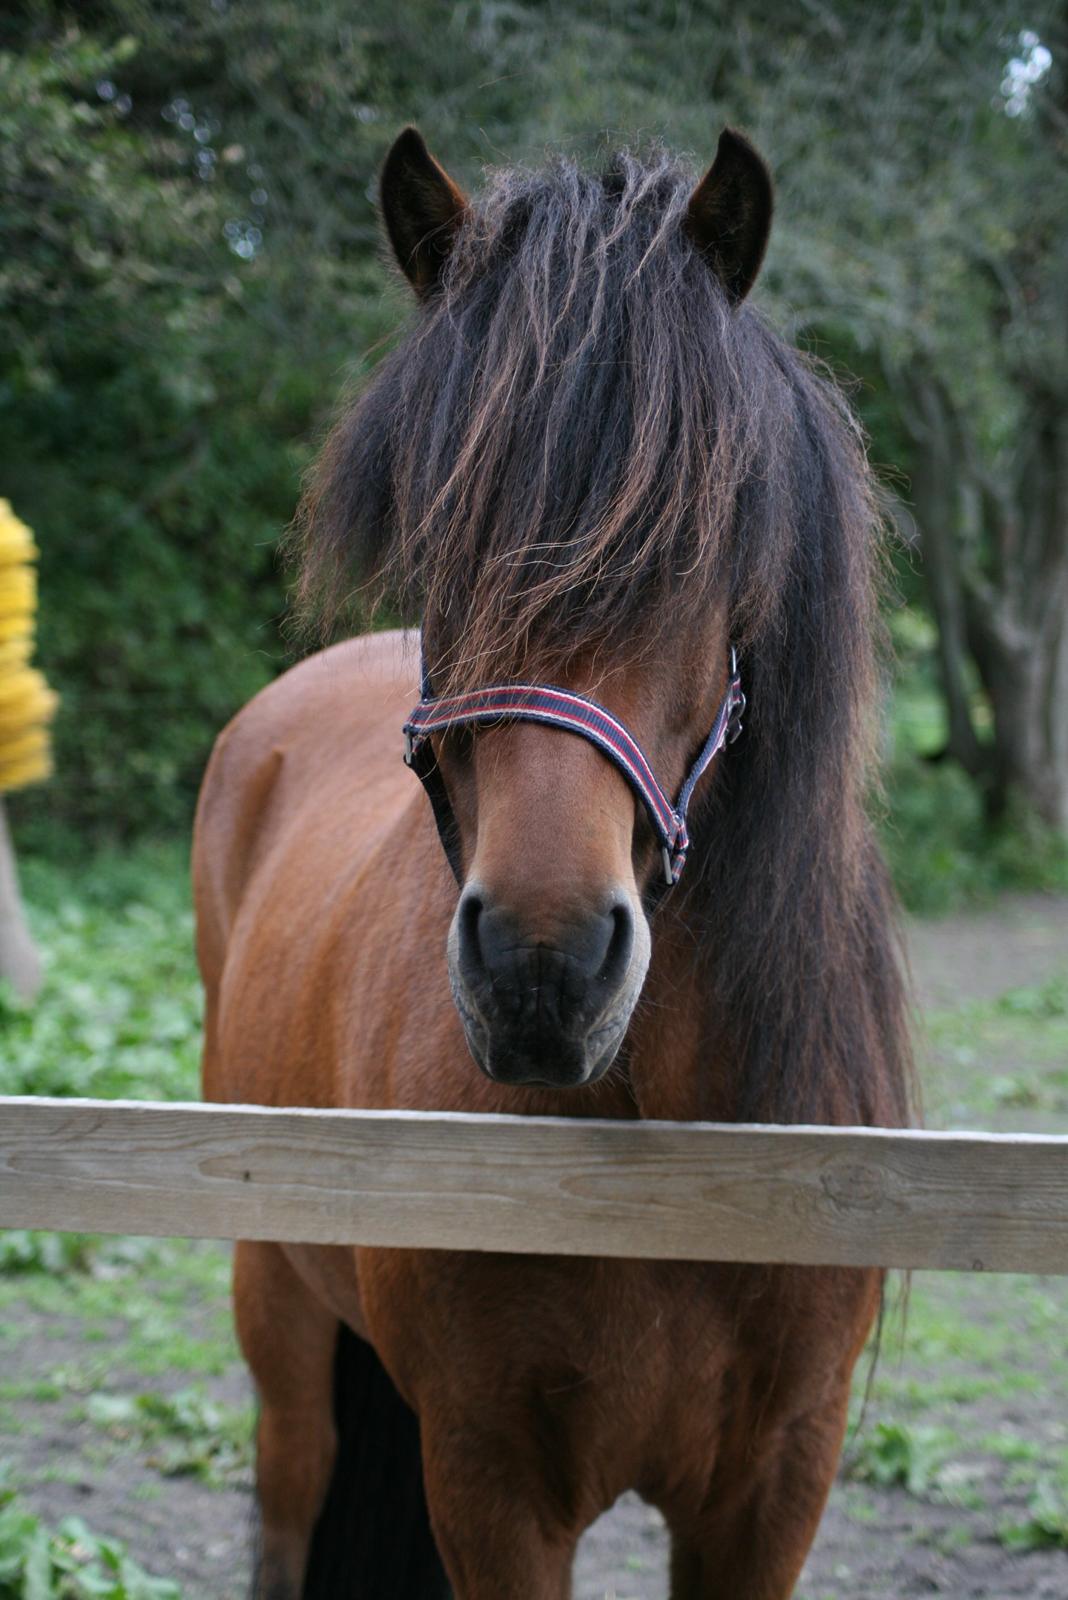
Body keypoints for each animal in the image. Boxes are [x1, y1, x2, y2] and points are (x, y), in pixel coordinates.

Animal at [191, 124, 908, 1600]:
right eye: (441, 538)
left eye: (705, 541)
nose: (543, 967)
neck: (664, 1149)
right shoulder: (493, 1483)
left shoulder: (774, 1492)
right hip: (280, 1322)